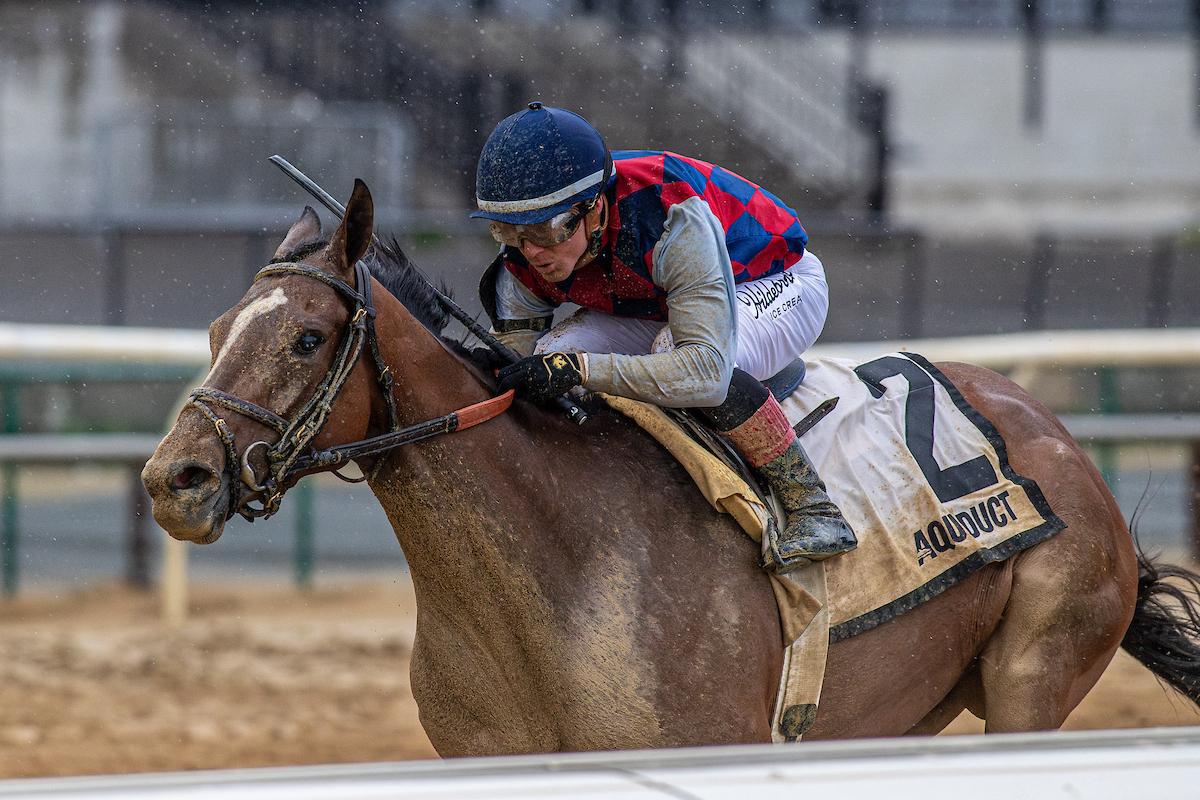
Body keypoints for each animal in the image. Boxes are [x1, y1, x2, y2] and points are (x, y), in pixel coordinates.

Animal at [142, 180, 1200, 756]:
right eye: (217, 332)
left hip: (1033, 671)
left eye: (307, 338)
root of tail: (1061, 443)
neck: (556, 582)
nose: (173, 479)